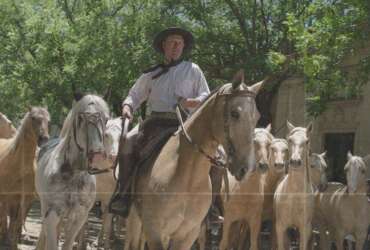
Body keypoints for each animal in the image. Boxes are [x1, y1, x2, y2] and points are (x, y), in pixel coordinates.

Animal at [0, 107, 49, 248]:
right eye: (33, 118)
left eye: (48, 120)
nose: (44, 139)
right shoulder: (5, 195)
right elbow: (5, 219)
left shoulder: (24, 198)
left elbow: (16, 224)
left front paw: (13, 245)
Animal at [35, 94, 109, 249]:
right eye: (80, 118)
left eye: (106, 119)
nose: (98, 155)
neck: (74, 175)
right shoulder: (51, 214)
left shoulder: (79, 217)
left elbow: (67, 244)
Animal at [127, 76, 264, 250]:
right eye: (235, 113)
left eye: (257, 116)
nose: (246, 168)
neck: (187, 178)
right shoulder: (155, 231)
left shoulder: (187, 235)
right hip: (135, 219)